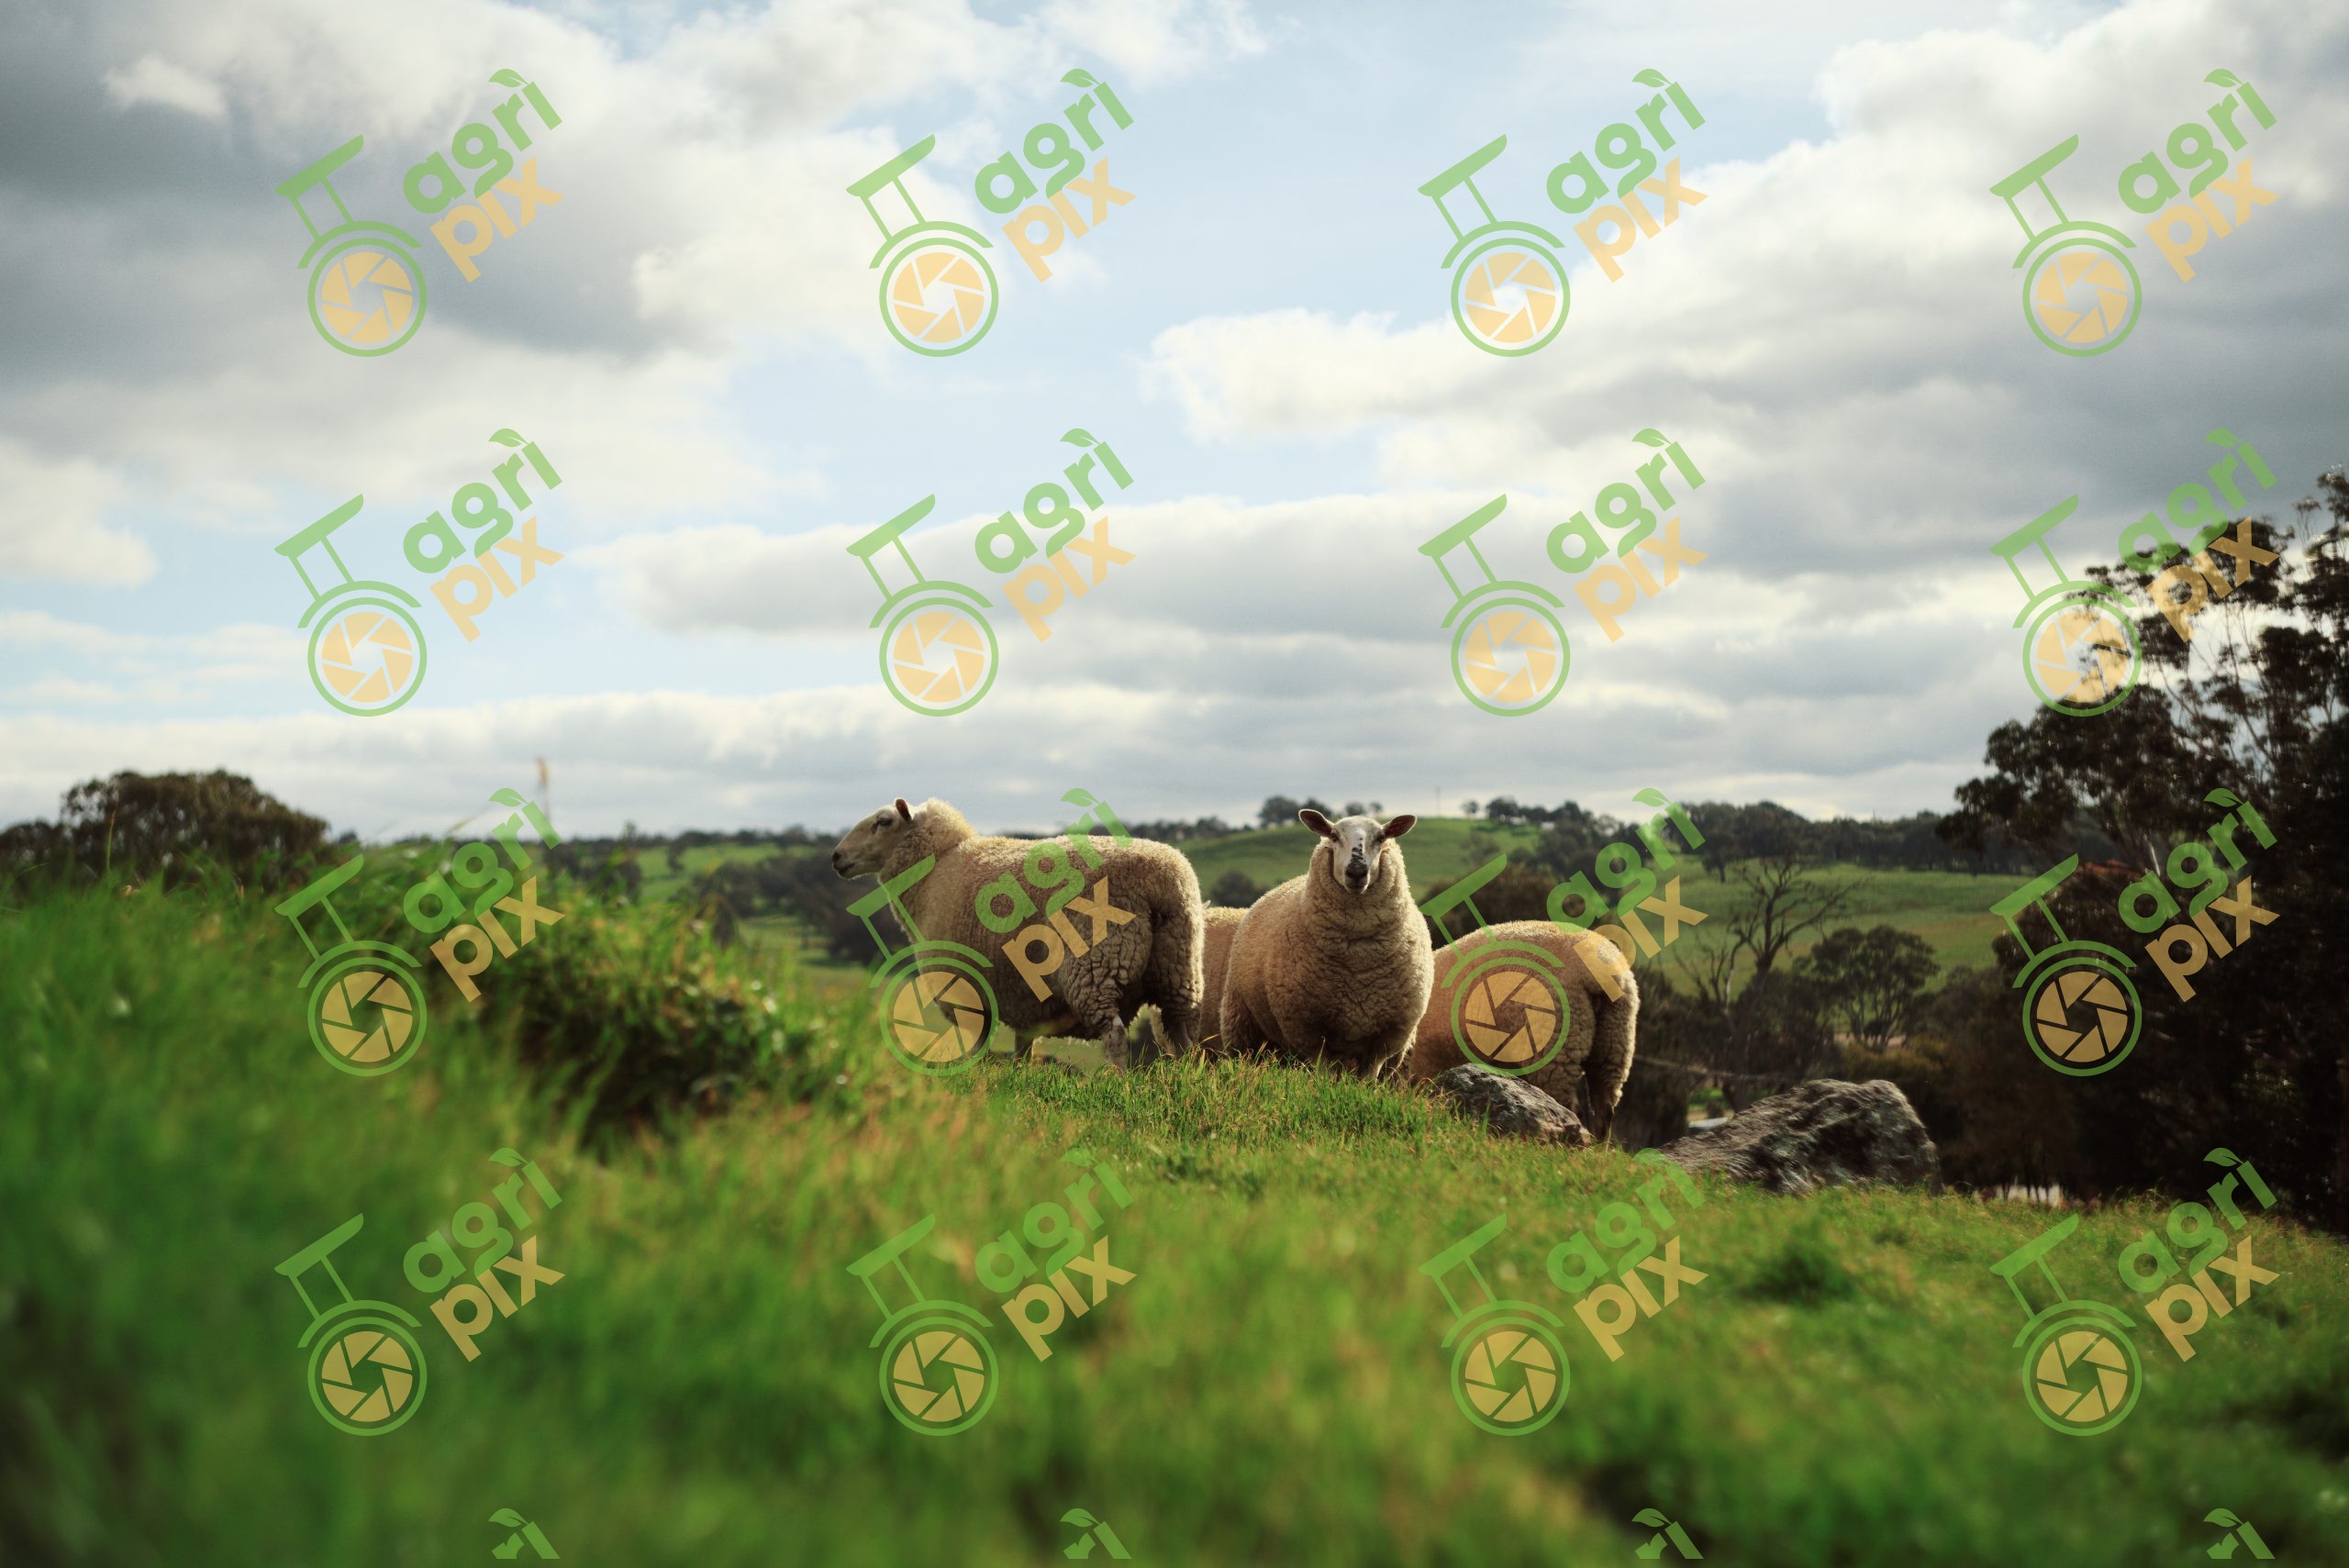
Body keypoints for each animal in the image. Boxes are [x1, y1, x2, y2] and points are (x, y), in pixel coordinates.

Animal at [830, 794, 1203, 1068]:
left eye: (883, 822)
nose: (836, 857)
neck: (936, 871)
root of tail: (1160, 880)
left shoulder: (966, 990)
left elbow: (977, 1047)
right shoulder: (1021, 996)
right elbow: (1022, 1048)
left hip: (1097, 965)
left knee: (1114, 1035)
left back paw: (1116, 1083)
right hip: (1177, 968)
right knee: (1184, 1037)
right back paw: (1189, 1081)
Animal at [1219, 810, 1434, 1079]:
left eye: (1381, 837)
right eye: (1333, 835)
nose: (1356, 871)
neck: (1359, 956)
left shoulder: (1388, 1037)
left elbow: (1368, 1079)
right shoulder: (1309, 1029)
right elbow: (1326, 1075)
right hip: (1242, 1026)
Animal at [1401, 922, 1639, 1140]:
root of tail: (1602, 972)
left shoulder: (1425, 1061)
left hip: (1555, 1046)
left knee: (1570, 1106)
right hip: (1614, 1043)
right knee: (1604, 1109)